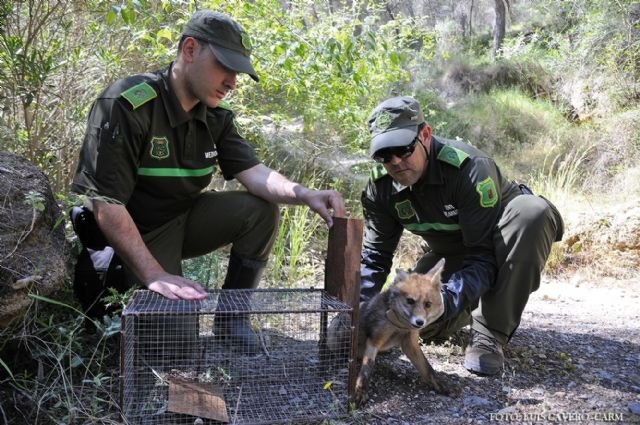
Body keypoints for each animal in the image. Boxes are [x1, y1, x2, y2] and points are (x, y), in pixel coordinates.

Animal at [332, 256, 452, 406]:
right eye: (410, 301)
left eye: (427, 304)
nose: (419, 322)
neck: (399, 328)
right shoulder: (375, 340)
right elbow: (366, 369)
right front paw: (360, 391)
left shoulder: (410, 343)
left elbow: (427, 368)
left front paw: (440, 385)